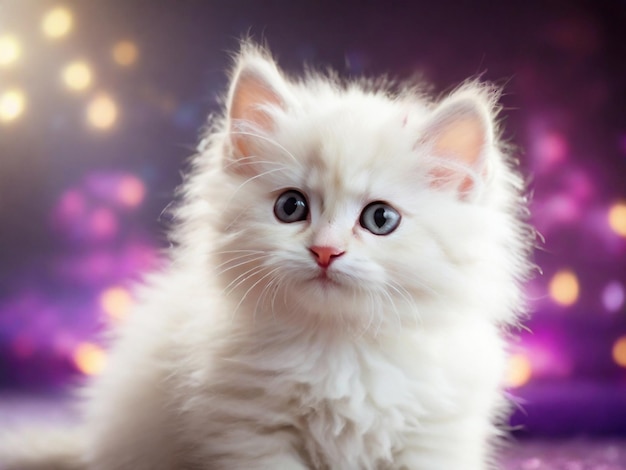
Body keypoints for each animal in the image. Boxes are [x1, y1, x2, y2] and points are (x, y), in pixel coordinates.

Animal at [0, 44, 532, 470]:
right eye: (291, 207)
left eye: (380, 219)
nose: (325, 250)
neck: (341, 347)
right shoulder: (250, 429)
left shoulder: (435, 435)